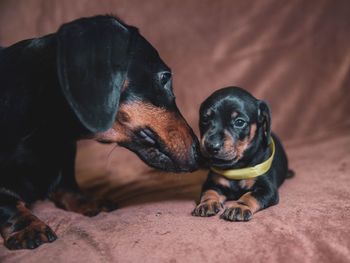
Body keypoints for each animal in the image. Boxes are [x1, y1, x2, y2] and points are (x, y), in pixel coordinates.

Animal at [0, 15, 200, 251]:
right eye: (165, 78)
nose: (199, 153)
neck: (49, 135)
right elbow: (7, 201)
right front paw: (27, 225)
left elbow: (67, 184)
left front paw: (87, 201)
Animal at [191, 87, 292, 222]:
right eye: (205, 119)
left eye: (239, 122)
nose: (211, 146)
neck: (237, 168)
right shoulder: (212, 183)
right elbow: (209, 192)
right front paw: (207, 203)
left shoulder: (267, 189)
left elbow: (250, 195)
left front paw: (239, 207)